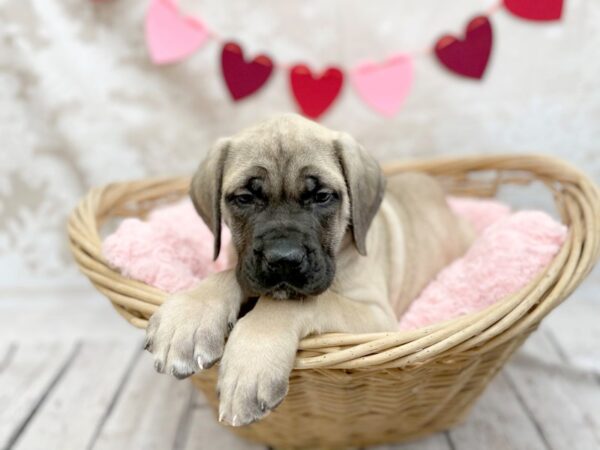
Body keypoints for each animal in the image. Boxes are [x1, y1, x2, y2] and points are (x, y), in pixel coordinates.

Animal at [145, 112, 474, 426]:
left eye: (322, 196)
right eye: (245, 198)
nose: (283, 259)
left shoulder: (378, 317)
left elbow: (303, 301)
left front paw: (250, 364)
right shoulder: (243, 265)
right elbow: (230, 275)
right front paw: (188, 319)